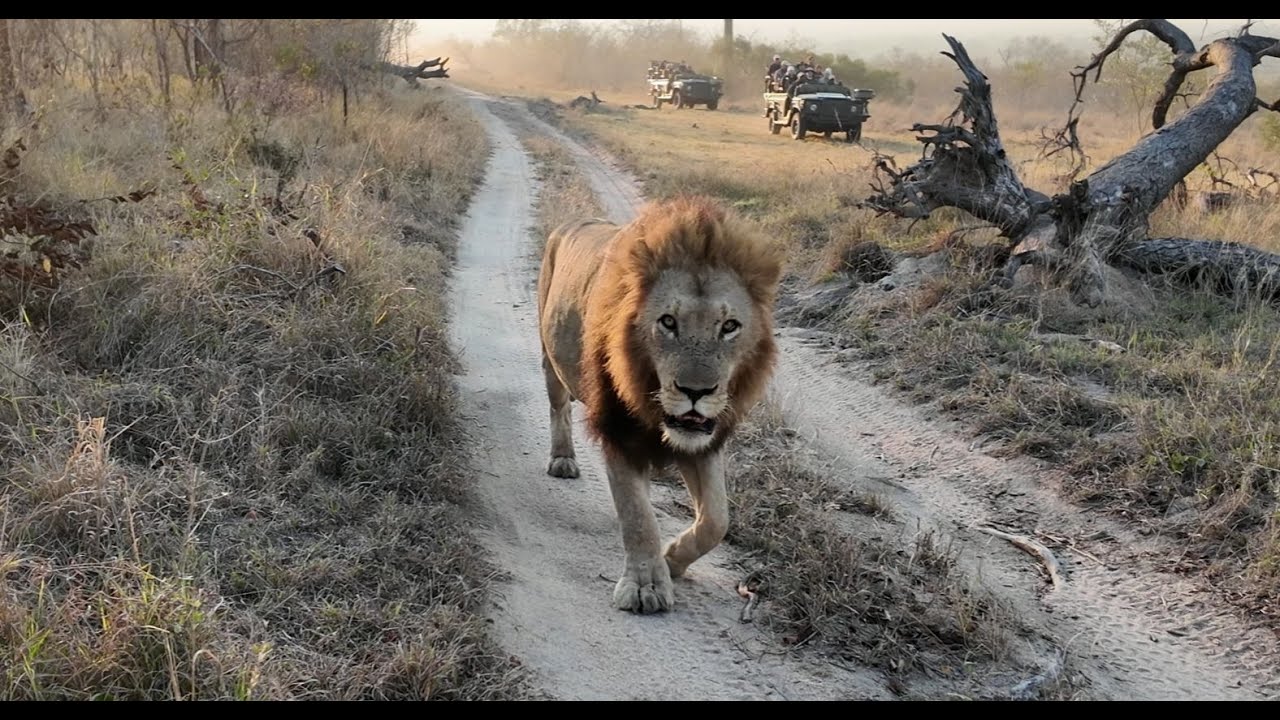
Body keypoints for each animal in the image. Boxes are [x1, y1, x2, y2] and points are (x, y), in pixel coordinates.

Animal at [536, 195, 783, 614]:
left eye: (729, 326)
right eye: (668, 322)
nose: (696, 391)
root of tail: (569, 223)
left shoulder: (704, 439)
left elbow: (717, 520)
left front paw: (672, 560)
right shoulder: (618, 429)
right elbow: (638, 517)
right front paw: (645, 585)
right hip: (551, 358)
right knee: (559, 408)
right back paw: (563, 459)